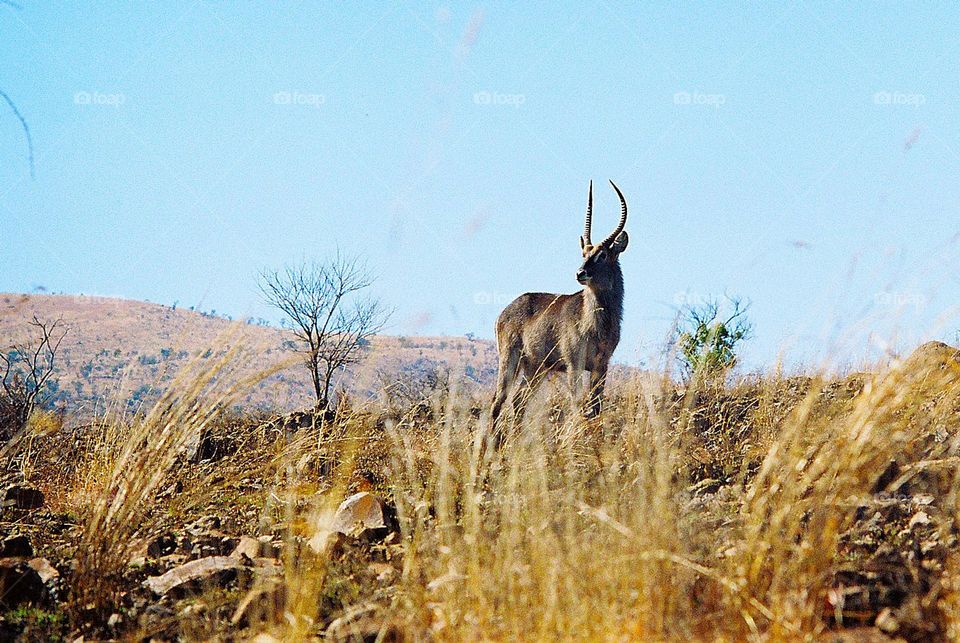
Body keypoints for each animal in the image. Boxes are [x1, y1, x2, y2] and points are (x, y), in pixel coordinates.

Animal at [488, 180, 632, 442]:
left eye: (602, 254)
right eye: (584, 253)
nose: (580, 272)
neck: (596, 322)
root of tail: (505, 311)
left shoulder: (601, 366)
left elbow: (596, 408)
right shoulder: (574, 364)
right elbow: (578, 405)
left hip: (535, 368)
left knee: (518, 401)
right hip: (510, 359)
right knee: (498, 400)